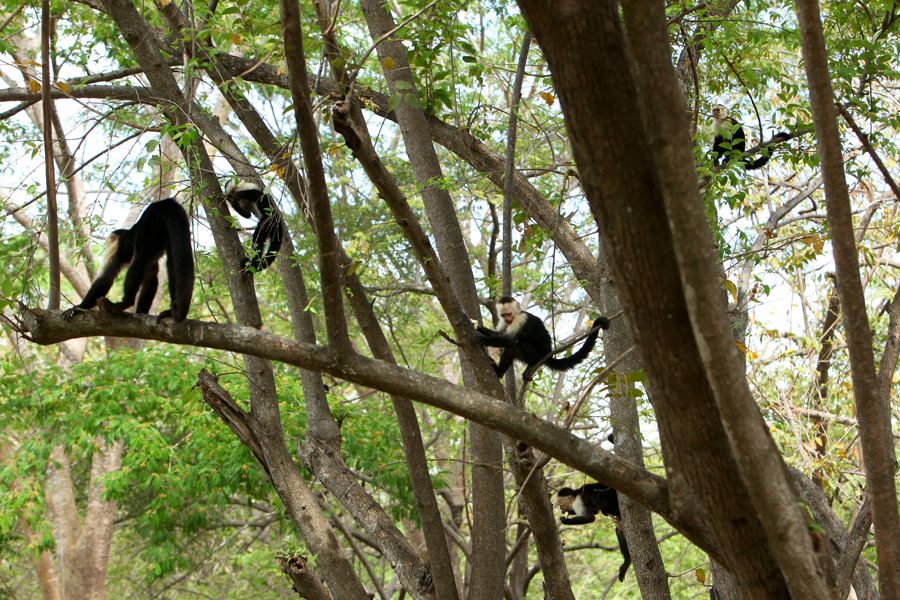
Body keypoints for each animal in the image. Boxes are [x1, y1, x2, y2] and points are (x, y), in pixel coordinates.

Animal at [61, 199, 193, 324]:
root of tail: (164, 204)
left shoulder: (113, 250)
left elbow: (105, 279)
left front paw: (79, 308)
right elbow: (150, 277)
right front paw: (141, 312)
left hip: (151, 225)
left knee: (139, 256)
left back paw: (125, 303)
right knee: (171, 261)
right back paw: (170, 311)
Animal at [472, 296, 612, 378]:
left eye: (509, 314)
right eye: (503, 315)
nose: (507, 319)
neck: (516, 315)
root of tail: (548, 354)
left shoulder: (521, 319)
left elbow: (509, 340)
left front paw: (484, 340)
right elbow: (501, 335)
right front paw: (479, 328)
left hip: (540, 353)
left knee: (522, 342)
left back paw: (532, 363)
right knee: (512, 349)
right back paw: (500, 373)